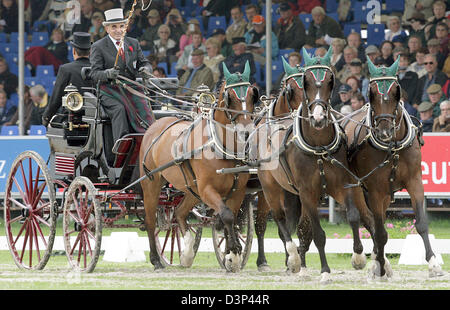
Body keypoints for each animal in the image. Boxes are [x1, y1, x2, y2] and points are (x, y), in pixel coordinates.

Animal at [141, 61, 258, 272]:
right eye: (230, 98)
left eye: (253, 95)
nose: (247, 132)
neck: (220, 146)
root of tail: (157, 123)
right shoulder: (207, 190)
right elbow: (227, 216)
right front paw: (234, 252)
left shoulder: (237, 192)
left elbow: (230, 219)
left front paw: (231, 256)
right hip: (151, 184)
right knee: (150, 220)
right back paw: (156, 260)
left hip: (191, 190)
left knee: (179, 213)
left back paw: (186, 253)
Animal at [253, 47, 376, 282]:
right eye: (305, 81)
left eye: (330, 80)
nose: (318, 118)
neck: (318, 146)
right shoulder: (307, 192)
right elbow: (317, 234)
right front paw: (325, 271)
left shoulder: (341, 185)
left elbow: (353, 217)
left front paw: (358, 256)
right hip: (269, 188)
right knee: (278, 219)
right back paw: (292, 258)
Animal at [344, 57, 442, 278]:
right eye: (371, 93)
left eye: (396, 91)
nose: (384, 131)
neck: (394, 146)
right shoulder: (375, 190)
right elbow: (380, 231)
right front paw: (379, 265)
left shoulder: (414, 182)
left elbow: (421, 223)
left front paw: (433, 263)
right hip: (354, 186)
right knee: (359, 218)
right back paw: (361, 257)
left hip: (386, 195)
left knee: (370, 220)